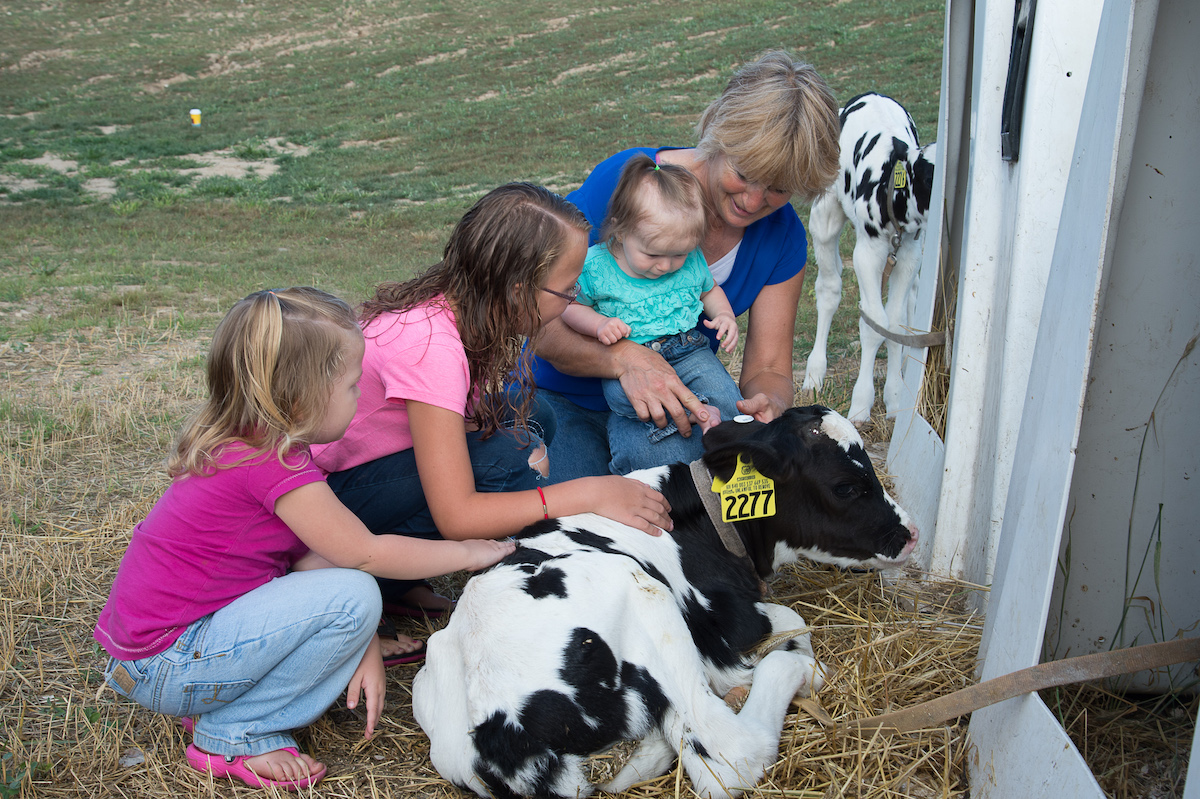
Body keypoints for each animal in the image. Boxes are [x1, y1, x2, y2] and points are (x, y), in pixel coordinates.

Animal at [411, 405, 918, 799]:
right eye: (846, 486)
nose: (911, 534)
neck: (698, 522)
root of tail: (494, 733)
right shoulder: (722, 621)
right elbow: (785, 621)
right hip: (641, 591)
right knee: (728, 750)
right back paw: (793, 674)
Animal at [802, 92, 937, 425]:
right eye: (930, 177)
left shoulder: (909, 253)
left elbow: (896, 325)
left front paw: (896, 395)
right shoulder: (867, 253)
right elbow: (875, 324)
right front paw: (862, 404)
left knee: (914, 297)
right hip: (825, 216)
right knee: (828, 289)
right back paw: (814, 373)